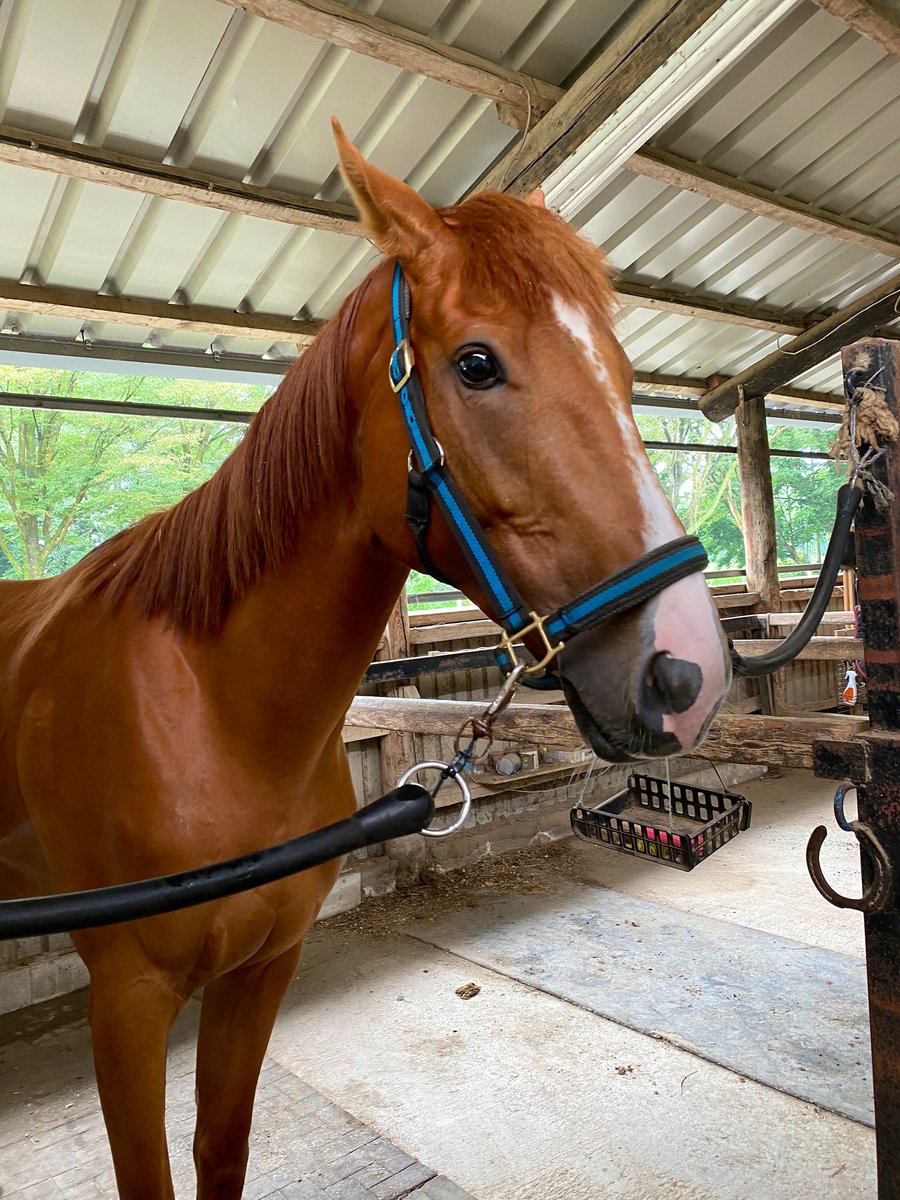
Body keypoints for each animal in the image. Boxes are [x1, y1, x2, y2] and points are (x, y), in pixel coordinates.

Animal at [0, 124, 734, 1200]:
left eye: (623, 369)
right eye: (477, 363)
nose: (688, 671)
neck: (214, 716)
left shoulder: (262, 971)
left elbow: (221, 1150)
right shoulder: (126, 1003)